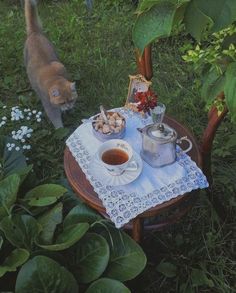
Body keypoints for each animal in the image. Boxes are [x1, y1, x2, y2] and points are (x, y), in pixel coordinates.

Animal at [24, 0, 77, 128]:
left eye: (71, 100)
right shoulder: (49, 107)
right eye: (62, 102)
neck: (54, 78)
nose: (68, 106)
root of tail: (34, 32)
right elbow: (56, 120)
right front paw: (61, 129)